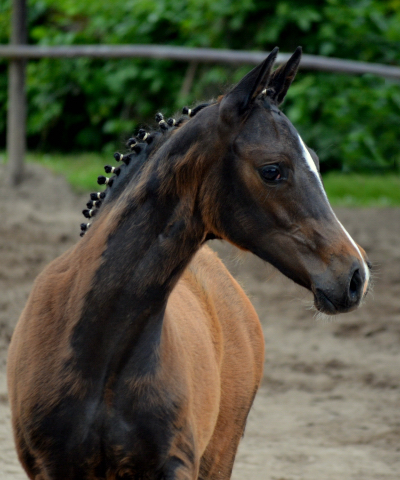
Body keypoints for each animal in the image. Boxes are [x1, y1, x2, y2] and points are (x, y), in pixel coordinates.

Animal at [7, 47, 368, 480]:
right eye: (272, 170)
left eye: (313, 158)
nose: (355, 276)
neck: (100, 352)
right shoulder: (51, 468)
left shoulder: (175, 465)